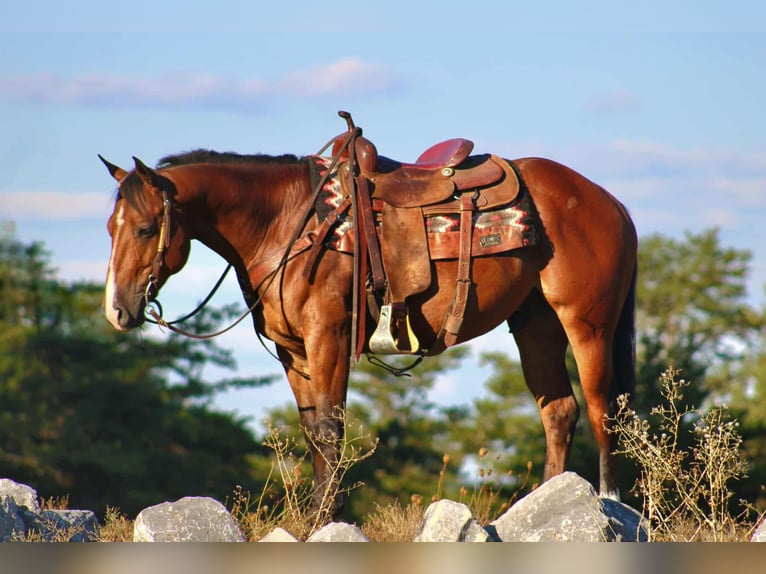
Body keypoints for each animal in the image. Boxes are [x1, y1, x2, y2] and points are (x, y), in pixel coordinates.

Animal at [100, 122, 637, 517]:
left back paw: (609, 503)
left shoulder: (329, 338)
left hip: (588, 325)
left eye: (145, 228)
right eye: (110, 228)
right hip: (537, 326)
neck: (286, 223)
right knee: (559, 411)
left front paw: (326, 518)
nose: (117, 310)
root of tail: (611, 202)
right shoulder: (294, 352)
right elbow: (313, 432)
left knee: (602, 408)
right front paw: (314, 517)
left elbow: (330, 431)